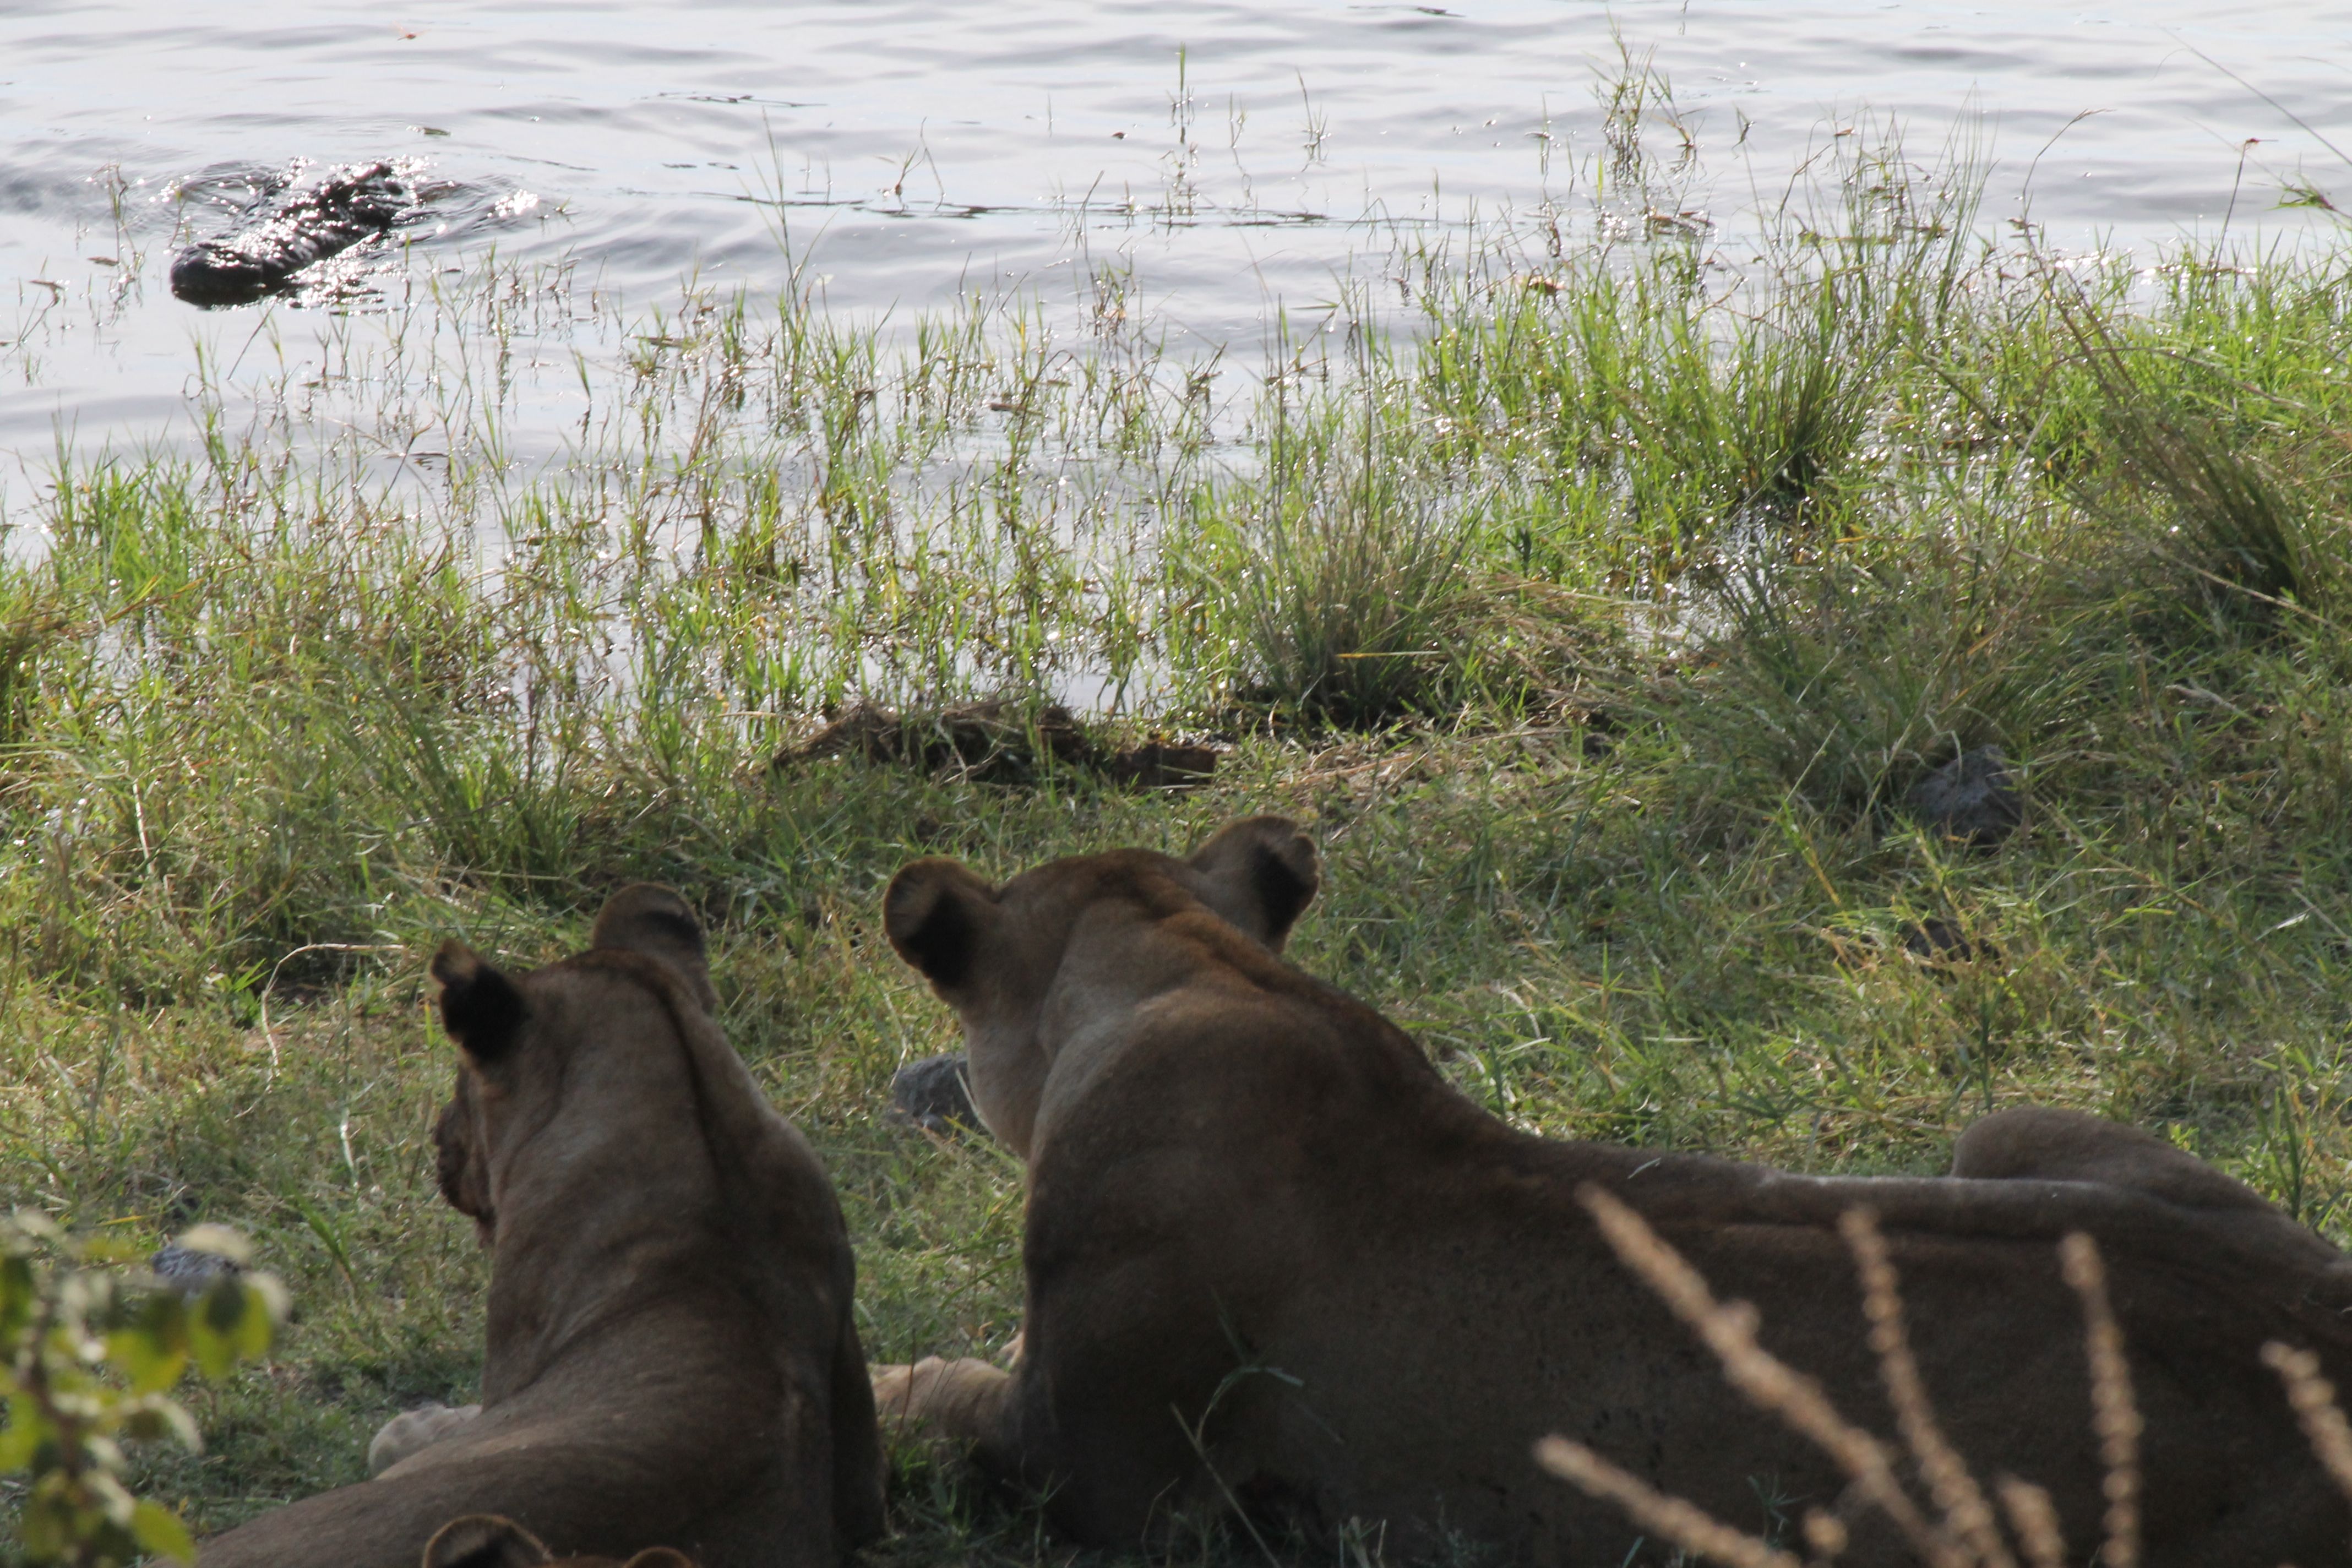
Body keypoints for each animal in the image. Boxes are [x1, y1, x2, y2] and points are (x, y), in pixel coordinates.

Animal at [197, 889, 884, 1561]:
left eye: (461, 1080)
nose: (438, 1139)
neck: (712, 1150)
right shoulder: (861, 1490)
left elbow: (400, 1440)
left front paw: (417, 1424)